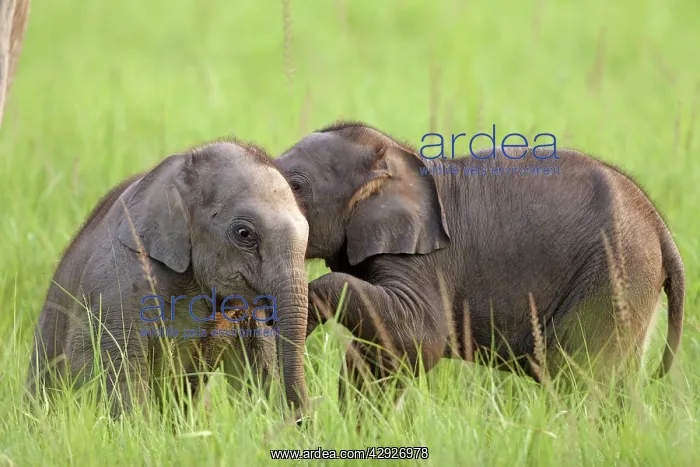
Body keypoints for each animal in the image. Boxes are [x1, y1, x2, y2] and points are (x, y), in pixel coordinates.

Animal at [274, 121, 685, 401]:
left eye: (296, 186)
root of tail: (660, 227)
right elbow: (381, 355)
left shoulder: (426, 261)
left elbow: (420, 338)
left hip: (615, 273)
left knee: (575, 374)